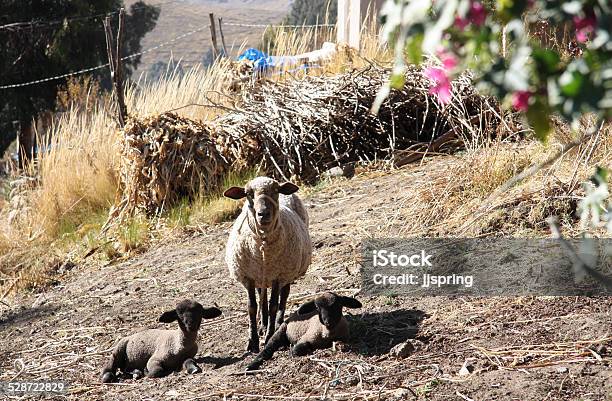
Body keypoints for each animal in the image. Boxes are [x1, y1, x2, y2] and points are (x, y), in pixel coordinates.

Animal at [224, 177, 310, 352]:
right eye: (248, 194)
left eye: (276, 191)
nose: (263, 214)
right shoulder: (248, 276)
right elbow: (252, 306)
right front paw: (253, 341)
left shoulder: (278, 275)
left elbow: (273, 305)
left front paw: (269, 337)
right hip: (260, 276)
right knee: (262, 297)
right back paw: (263, 325)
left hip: (287, 272)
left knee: (283, 296)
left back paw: (277, 324)